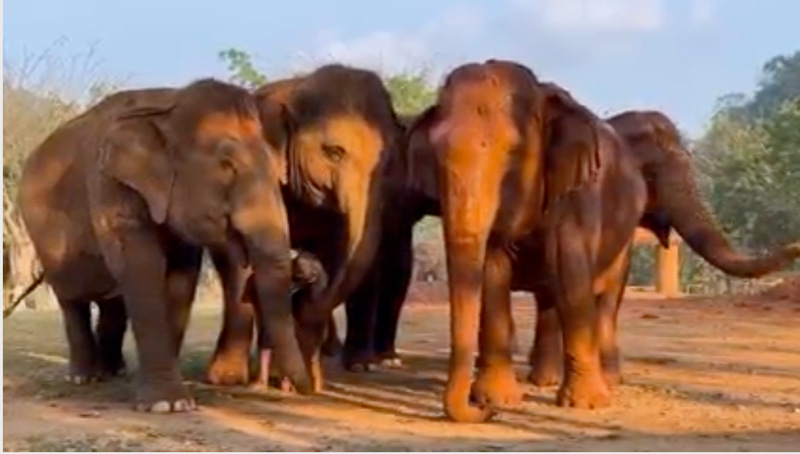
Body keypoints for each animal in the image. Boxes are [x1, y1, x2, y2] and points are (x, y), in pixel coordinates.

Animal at [15, 78, 310, 412]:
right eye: (226, 166)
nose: (302, 390)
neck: (168, 104)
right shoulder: (109, 185)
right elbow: (141, 267)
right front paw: (167, 405)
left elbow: (181, 278)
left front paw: (171, 400)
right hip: (43, 238)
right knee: (71, 301)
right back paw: (84, 378)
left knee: (112, 302)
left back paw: (114, 372)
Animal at [208, 64, 406, 390]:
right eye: (334, 152)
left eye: (388, 160)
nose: (304, 286)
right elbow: (235, 255)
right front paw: (227, 379)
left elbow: (333, 251)